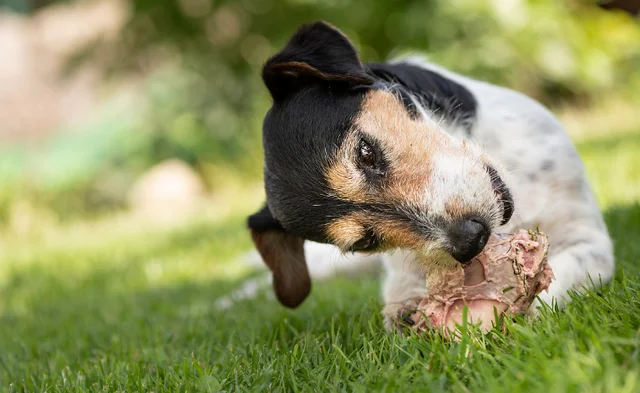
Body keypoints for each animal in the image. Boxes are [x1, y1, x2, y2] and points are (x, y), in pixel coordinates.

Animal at [245, 21, 616, 330]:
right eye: (366, 241)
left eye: (365, 152)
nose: (471, 240)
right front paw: (405, 310)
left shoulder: (588, 239)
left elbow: (557, 280)